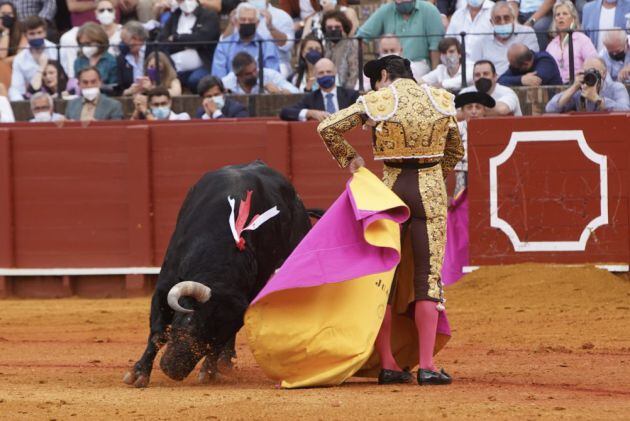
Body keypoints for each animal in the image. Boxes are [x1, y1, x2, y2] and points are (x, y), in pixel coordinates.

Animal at [123, 161, 314, 388]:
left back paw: (224, 362)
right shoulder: (163, 286)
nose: (173, 371)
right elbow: (158, 333)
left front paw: (209, 370)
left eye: (218, 336)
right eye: (190, 321)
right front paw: (138, 373)